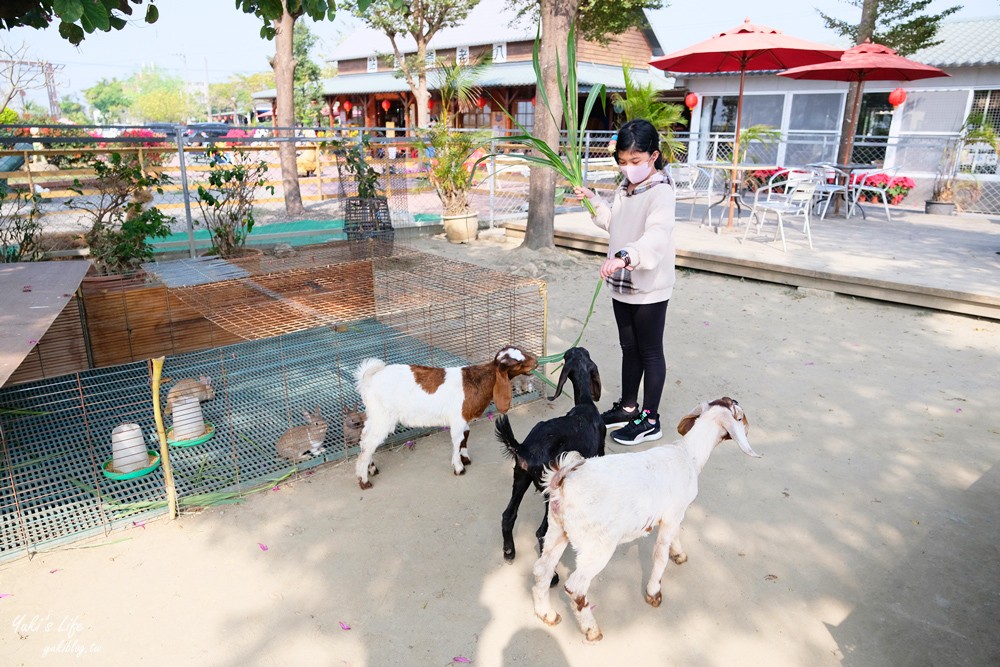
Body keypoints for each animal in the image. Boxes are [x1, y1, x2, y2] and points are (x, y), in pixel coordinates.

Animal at [496, 348, 604, 572]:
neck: (585, 404)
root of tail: (525, 448)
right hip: (550, 491)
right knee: (542, 533)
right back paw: (551, 575)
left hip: (520, 477)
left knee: (508, 516)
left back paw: (509, 552)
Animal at [532, 396, 756, 640]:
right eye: (740, 417)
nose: (748, 426)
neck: (688, 454)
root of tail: (562, 480)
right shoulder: (672, 515)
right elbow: (660, 555)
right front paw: (654, 593)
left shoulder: (674, 514)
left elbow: (674, 538)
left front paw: (679, 554)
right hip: (597, 546)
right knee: (575, 587)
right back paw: (591, 630)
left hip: (557, 529)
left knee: (542, 570)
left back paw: (547, 614)